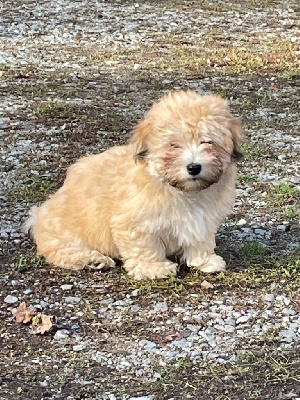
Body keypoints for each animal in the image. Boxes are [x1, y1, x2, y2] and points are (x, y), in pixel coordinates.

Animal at [24, 90, 243, 280]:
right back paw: (92, 260)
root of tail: (39, 214)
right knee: (61, 249)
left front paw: (205, 260)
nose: (194, 167)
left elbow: (200, 238)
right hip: (64, 230)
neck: (182, 191)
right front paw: (154, 268)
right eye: (174, 145)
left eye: (208, 142)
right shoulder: (134, 221)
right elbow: (145, 245)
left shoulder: (203, 217)